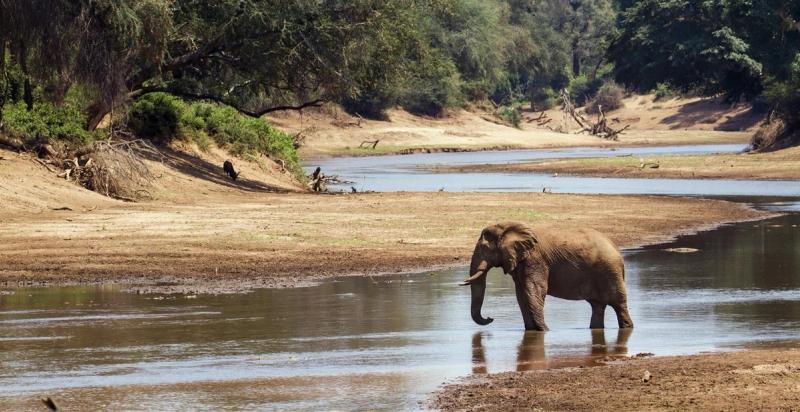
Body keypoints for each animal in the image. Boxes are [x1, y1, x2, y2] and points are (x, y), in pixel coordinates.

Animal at [462, 222, 633, 331]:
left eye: (484, 248)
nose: (490, 318)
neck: (507, 226)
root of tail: (616, 249)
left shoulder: (535, 260)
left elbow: (535, 290)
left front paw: (544, 330)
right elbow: (521, 295)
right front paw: (533, 330)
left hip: (610, 270)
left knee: (619, 304)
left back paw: (627, 327)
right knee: (597, 306)